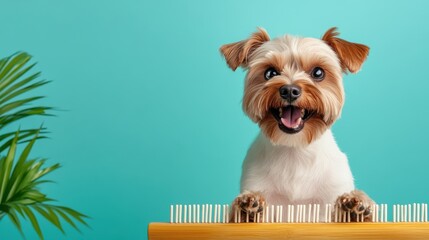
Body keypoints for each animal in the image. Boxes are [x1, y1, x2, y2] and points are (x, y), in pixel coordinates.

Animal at [219, 27, 372, 222]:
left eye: (318, 73)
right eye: (270, 73)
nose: (289, 90)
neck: (295, 149)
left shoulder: (331, 193)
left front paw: (355, 205)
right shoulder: (258, 185)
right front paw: (247, 206)